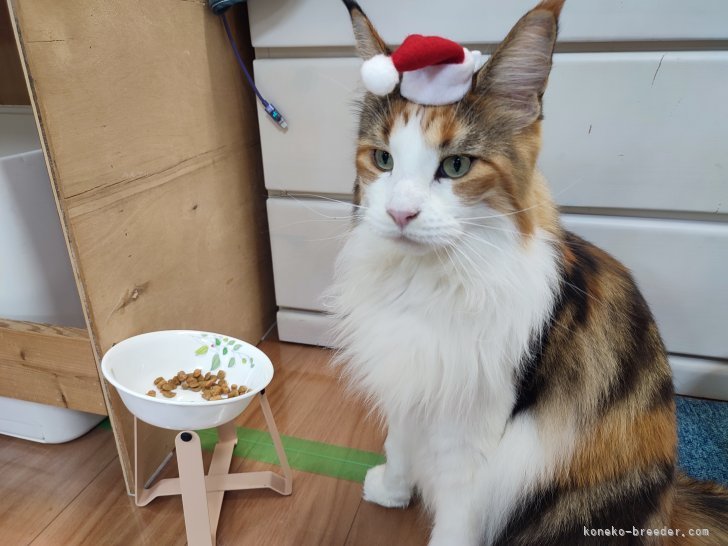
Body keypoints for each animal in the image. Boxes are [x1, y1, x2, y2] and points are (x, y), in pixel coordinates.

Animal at [329, 1, 728, 545]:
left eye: (457, 166)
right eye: (383, 160)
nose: (399, 214)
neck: (427, 283)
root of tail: (670, 506)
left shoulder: (471, 441)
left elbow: (454, 524)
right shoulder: (411, 380)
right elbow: (399, 441)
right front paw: (391, 489)